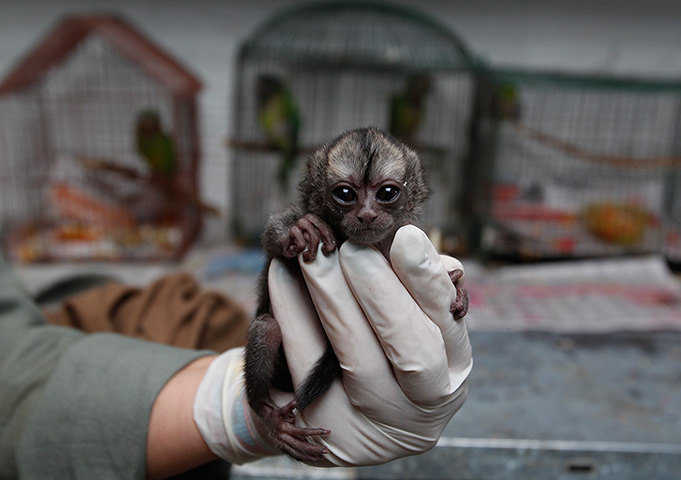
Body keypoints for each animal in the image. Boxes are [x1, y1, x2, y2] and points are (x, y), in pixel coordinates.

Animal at [244, 127, 468, 463]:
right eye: (346, 195)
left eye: (386, 193)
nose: (366, 214)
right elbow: (273, 239)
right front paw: (299, 230)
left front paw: (458, 288)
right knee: (266, 328)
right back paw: (269, 415)